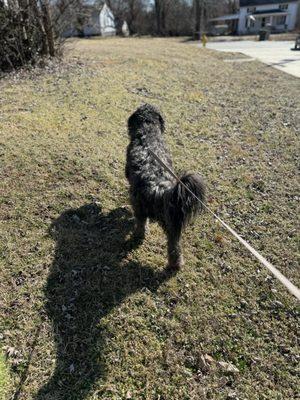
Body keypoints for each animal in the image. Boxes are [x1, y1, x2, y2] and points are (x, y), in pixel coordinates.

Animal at [125, 104, 205, 270]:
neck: (148, 133)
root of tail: (159, 189)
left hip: (139, 206)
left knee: (141, 224)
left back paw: (138, 236)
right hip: (172, 225)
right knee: (174, 247)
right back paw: (176, 264)